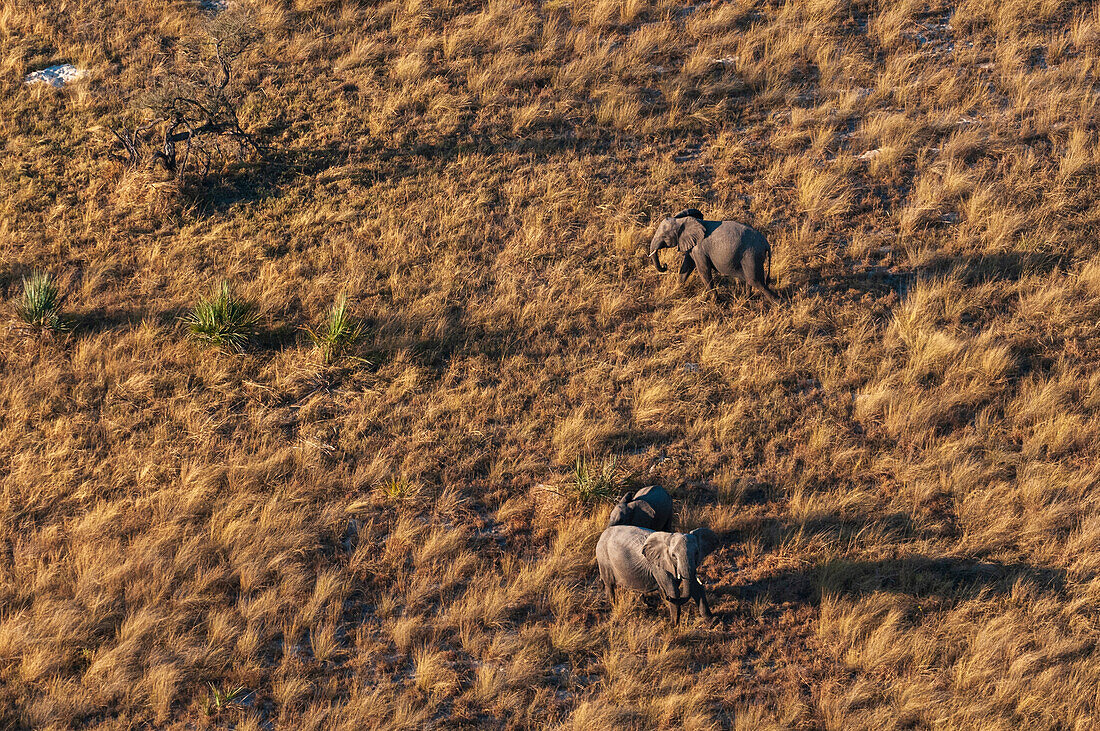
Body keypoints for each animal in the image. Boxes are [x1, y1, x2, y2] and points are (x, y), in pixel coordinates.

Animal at [642, 207, 783, 301]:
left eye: (664, 236)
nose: (665, 265)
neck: (685, 220)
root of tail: (766, 243)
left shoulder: (699, 248)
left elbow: (703, 270)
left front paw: (715, 301)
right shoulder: (692, 246)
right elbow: (687, 266)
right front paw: (677, 289)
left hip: (752, 255)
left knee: (756, 281)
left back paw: (778, 304)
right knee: (751, 280)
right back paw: (746, 299)